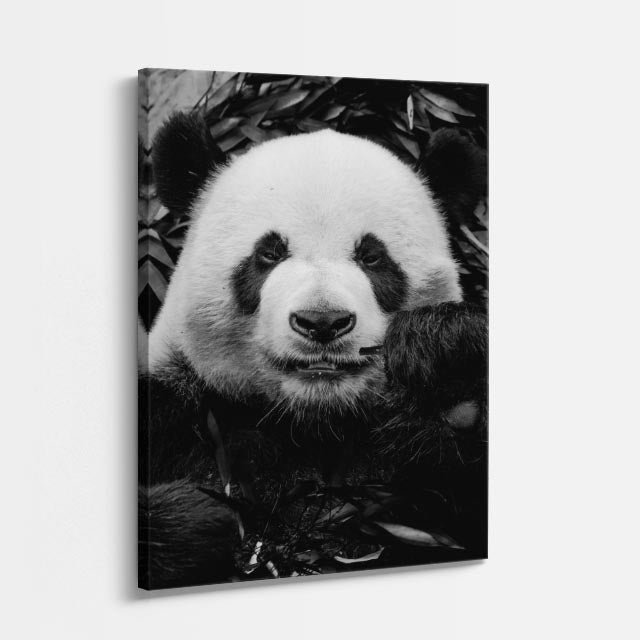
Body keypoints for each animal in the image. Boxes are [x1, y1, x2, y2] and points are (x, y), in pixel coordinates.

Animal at [139, 113, 487, 590]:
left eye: (372, 257)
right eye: (268, 253)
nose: (322, 322)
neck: (312, 422)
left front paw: (446, 364)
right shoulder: (172, 413)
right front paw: (201, 519)